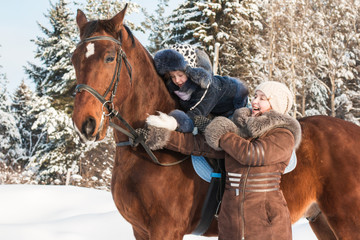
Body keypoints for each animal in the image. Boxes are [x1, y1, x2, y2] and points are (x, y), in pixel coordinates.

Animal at [71, 6, 360, 240]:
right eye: (75, 58)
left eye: (110, 57)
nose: (85, 123)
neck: (145, 150)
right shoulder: (139, 230)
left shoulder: (166, 229)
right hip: (321, 220)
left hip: (346, 220)